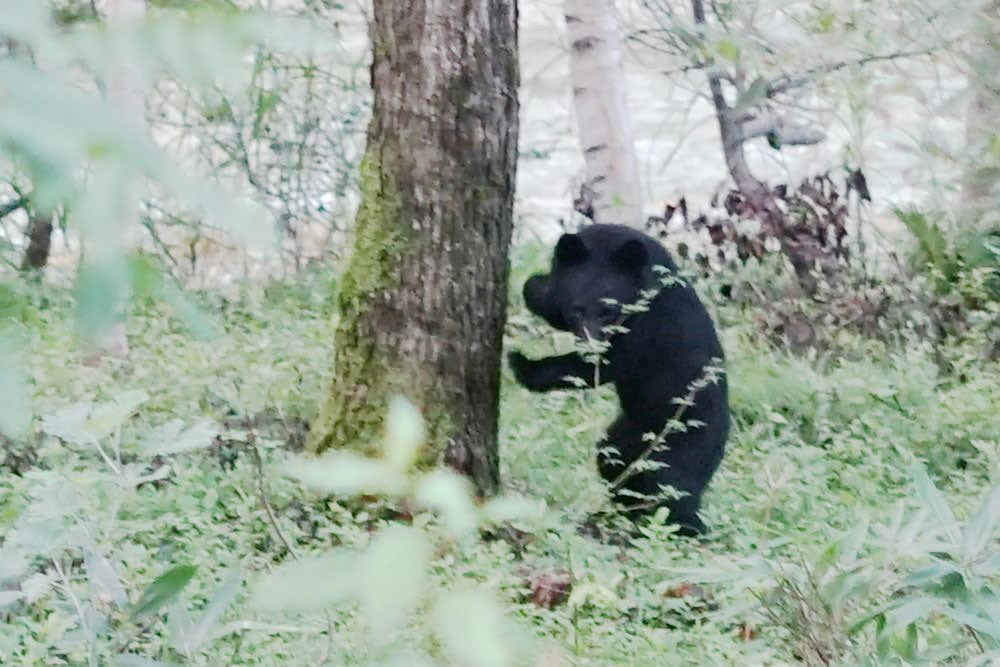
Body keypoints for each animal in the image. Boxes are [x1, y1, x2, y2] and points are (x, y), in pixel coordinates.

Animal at [508, 224, 729, 536]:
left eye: (608, 311)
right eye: (577, 309)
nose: (591, 346)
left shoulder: (645, 323)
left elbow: (603, 366)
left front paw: (522, 363)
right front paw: (537, 288)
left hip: (684, 441)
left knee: (673, 489)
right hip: (626, 436)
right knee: (615, 464)